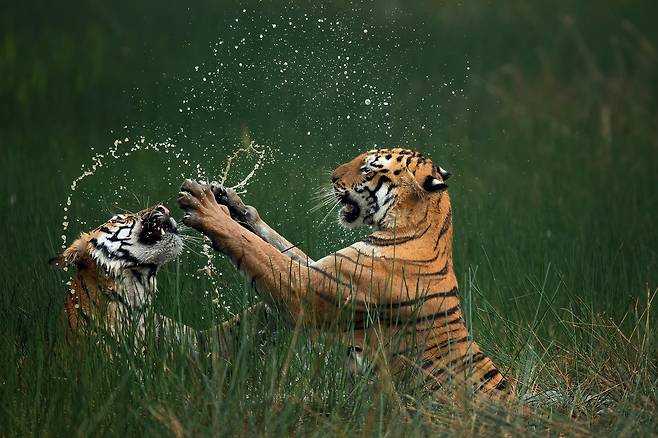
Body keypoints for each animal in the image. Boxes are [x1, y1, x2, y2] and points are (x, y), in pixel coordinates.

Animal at [177, 147, 513, 398]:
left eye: (368, 169)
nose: (332, 177)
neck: (419, 230)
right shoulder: (322, 269)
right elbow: (277, 244)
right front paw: (231, 202)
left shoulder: (306, 289)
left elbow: (258, 250)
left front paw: (205, 207)